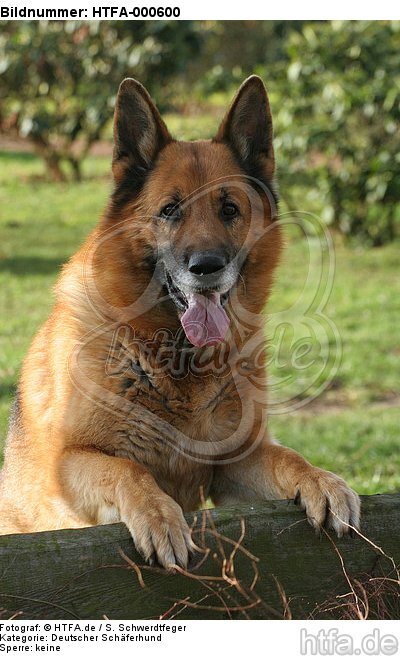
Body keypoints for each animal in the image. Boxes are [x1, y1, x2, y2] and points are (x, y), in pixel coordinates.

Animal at [0, 78, 360, 568]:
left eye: (229, 209)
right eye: (170, 210)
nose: (205, 267)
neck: (173, 357)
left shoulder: (234, 465)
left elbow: (289, 458)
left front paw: (323, 480)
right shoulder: (71, 462)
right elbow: (129, 468)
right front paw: (158, 515)